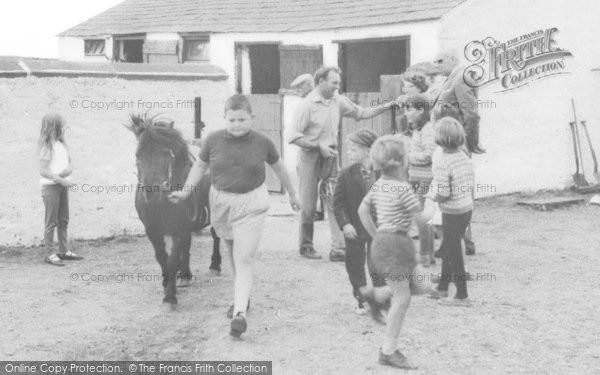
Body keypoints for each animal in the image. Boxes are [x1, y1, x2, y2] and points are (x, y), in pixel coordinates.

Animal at [125, 113, 221, 310]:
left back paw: (215, 265)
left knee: (216, 236)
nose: (151, 191)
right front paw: (166, 282)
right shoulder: (152, 230)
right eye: (138, 154)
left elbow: (172, 260)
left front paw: (170, 296)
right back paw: (185, 275)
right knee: (187, 245)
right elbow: (162, 256)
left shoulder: (178, 229)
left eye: (165, 154)